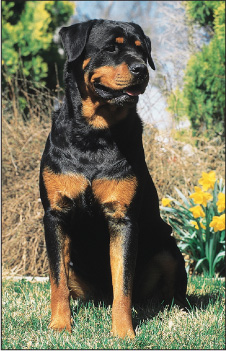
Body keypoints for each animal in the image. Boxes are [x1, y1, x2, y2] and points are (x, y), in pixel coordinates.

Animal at [39, 19, 187, 338]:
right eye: (110, 48)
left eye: (142, 51)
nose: (141, 69)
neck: (93, 135)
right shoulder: (55, 213)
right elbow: (57, 281)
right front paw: (60, 325)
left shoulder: (123, 217)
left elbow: (123, 283)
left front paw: (123, 332)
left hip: (168, 247)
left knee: (173, 289)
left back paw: (178, 313)